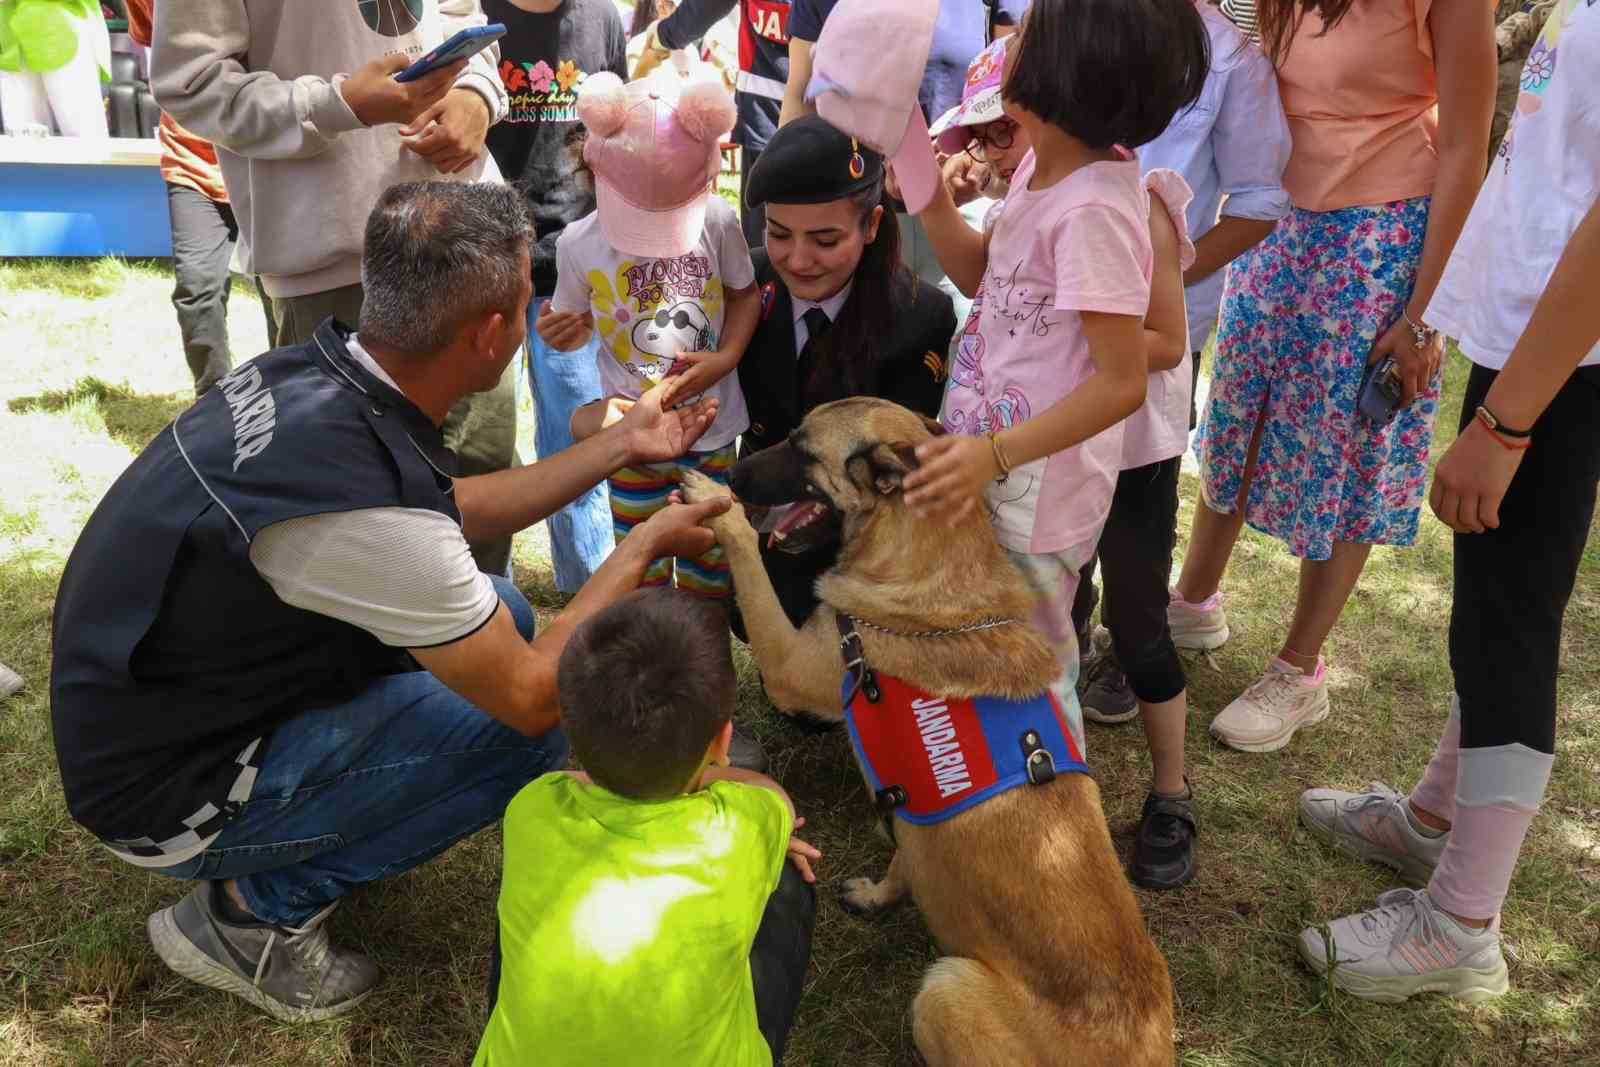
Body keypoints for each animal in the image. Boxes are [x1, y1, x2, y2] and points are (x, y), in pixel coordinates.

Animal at [675, 398, 1177, 1067]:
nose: (733, 474)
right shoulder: (910, 811)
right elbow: (904, 858)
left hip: (945, 987)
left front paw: (717, 507)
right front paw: (880, 896)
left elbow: (752, 567)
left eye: (801, 448)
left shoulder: (787, 663)